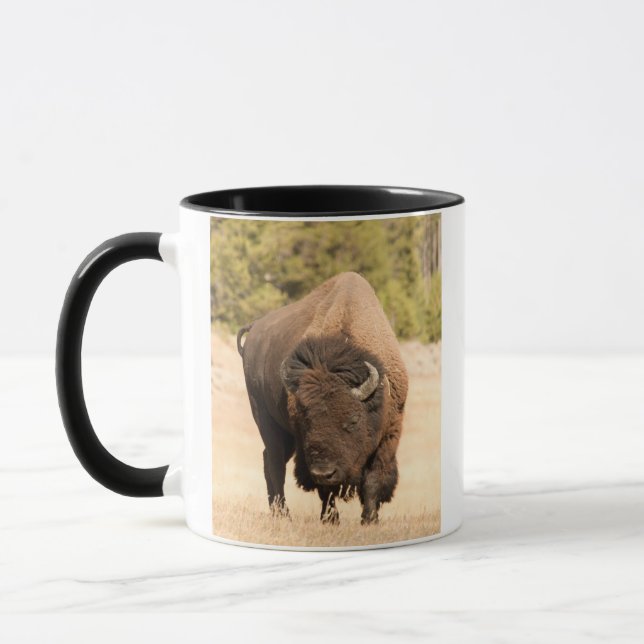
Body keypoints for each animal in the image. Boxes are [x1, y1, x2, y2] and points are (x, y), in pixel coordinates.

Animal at [237, 272, 408, 525]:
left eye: (353, 421)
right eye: (306, 421)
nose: (324, 472)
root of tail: (255, 327)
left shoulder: (389, 434)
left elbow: (373, 479)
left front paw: (370, 520)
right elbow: (326, 490)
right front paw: (330, 520)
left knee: (270, 459)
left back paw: (278, 512)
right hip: (266, 420)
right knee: (275, 463)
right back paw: (283, 515)